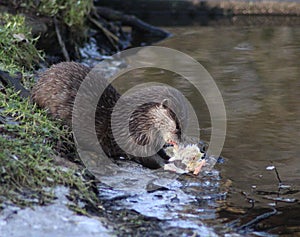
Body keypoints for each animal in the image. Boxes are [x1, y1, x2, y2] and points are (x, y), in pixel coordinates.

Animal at [31, 61, 188, 168]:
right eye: (177, 126)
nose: (181, 142)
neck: (137, 120)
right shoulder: (132, 137)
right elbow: (147, 158)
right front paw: (174, 163)